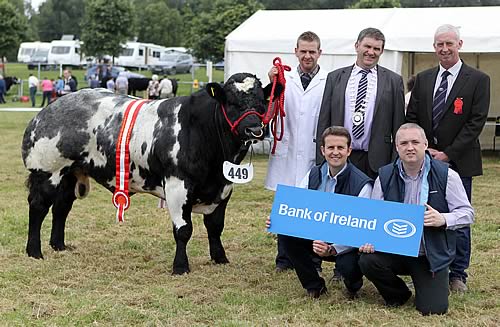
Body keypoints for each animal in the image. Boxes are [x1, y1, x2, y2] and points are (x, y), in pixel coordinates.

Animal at [21, 73, 280, 276]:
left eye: (261, 102)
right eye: (231, 102)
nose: (254, 129)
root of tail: (47, 110)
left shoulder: (224, 187)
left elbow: (215, 226)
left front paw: (220, 258)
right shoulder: (177, 186)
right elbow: (183, 230)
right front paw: (180, 267)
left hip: (71, 172)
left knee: (61, 207)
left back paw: (59, 245)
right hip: (48, 171)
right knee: (38, 207)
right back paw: (34, 251)